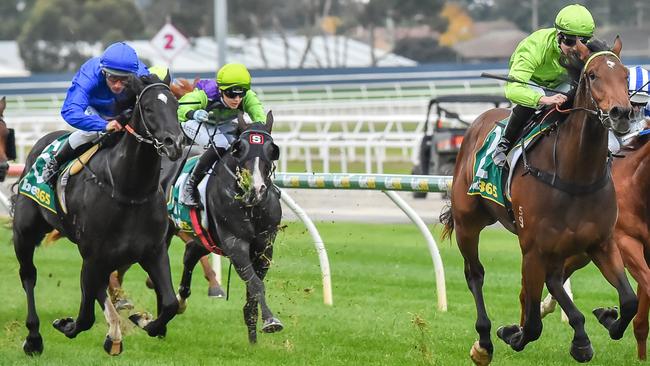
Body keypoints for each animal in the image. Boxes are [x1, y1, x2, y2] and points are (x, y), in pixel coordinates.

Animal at [13, 74, 185, 354]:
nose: (175, 143)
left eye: (175, 106)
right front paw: (66, 324)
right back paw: (34, 338)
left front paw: (145, 321)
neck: (129, 191)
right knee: (29, 275)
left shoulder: (154, 250)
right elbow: (85, 316)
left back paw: (113, 332)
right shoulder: (92, 255)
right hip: (25, 232)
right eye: (148, 108)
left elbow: (170, 303)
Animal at [171, 112, 282, 344]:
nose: (256, 189)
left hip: (203, 237)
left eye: (272, 149)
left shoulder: (265, 246)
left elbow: (253, 287)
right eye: (239, 149)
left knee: (190, 253)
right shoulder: (235, 244)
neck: (249, 205)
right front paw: (271, 321)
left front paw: (253, 336)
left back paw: (181, 301)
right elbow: (256, 284)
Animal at [438, 38, 636, 364]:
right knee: (475, 275)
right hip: (469, 223)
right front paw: (512, 334)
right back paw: (483, 342)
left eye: (625, 75)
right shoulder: (532, 249)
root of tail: (478, 121)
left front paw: (604, 320)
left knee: (554, 279)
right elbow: (532, 325)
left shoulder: (601, 243)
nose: (621, 113)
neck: (575, 175)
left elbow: (629, 300)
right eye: (592, 75)